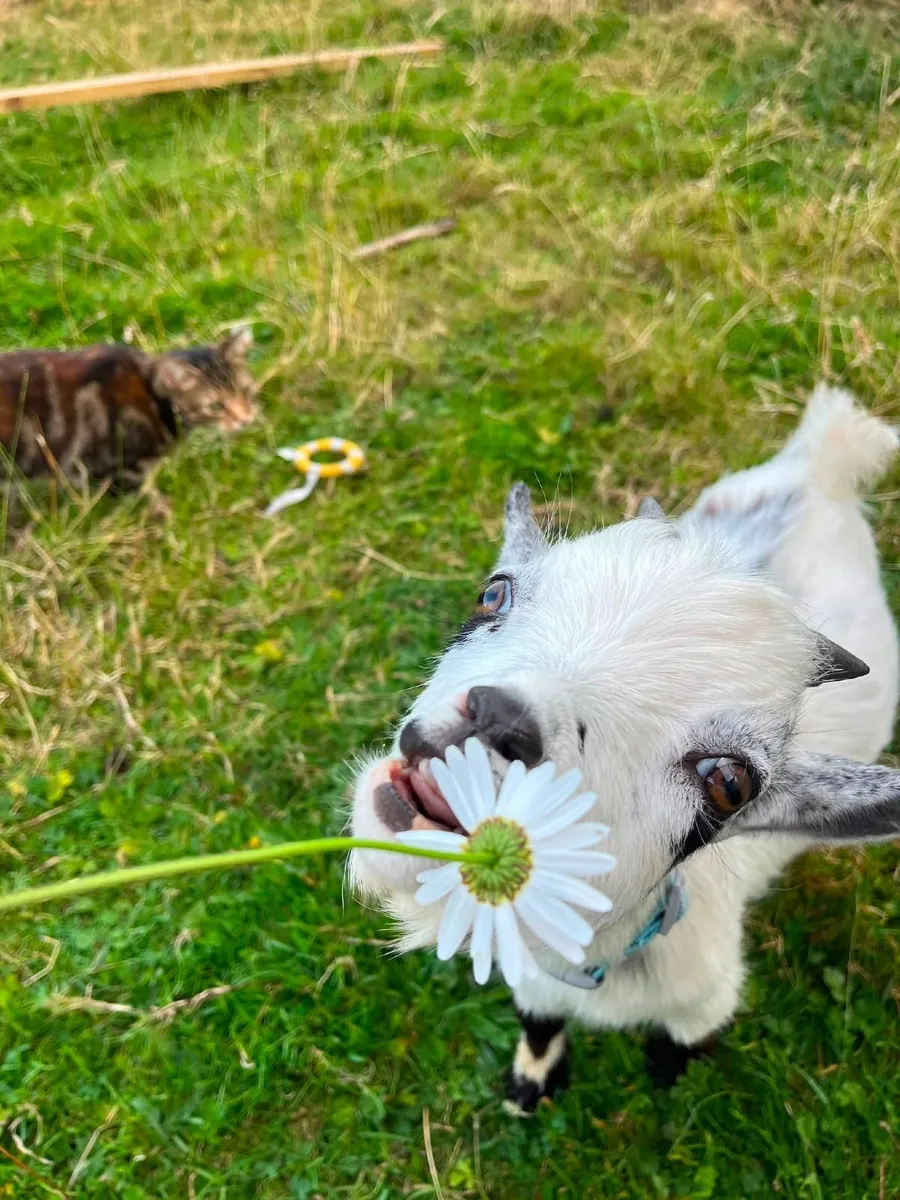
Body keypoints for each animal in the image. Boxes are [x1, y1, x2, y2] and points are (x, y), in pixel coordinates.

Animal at [349, 384, 900, 1112]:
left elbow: (679, 1052)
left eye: (730, 782)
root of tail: (822, 467)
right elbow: (537, 1024)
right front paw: (529, 1084)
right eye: (493, 592)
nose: (500, 718)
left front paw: (669, 1085)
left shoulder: (703, 1002)